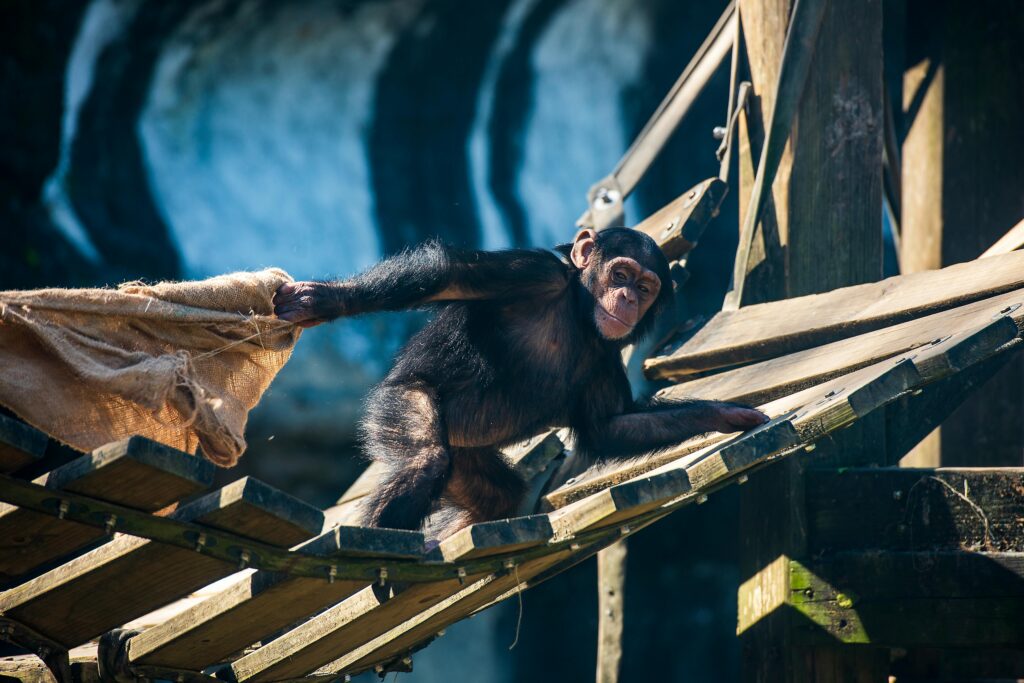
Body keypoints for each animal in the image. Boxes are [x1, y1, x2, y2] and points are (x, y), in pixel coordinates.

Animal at [272, 227, 770, 536]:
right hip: (400, 399)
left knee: (498, 496)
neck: (577, 311)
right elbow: (448, 275)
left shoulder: (606, 358)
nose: (628, 298)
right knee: (425, 459)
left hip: (469, 461)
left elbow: (608, 426)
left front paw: (723, 414)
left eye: (646, 288)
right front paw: (325, 300)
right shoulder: (532, 272)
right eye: (621, 274)